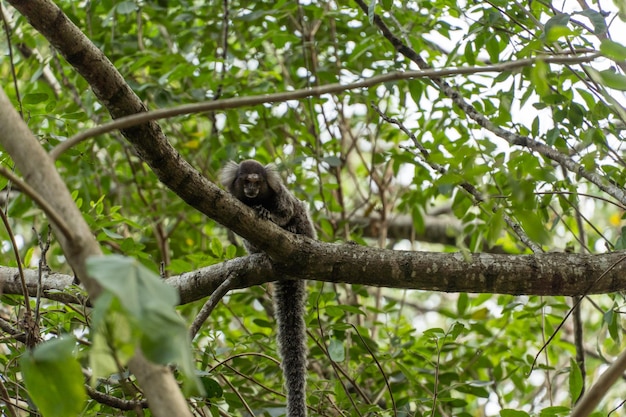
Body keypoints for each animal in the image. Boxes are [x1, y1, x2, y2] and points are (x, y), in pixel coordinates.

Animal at [222, 158, 314, 416]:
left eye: (257, 181)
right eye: (246, 181)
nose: (251, 189)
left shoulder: (280, 195)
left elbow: (287, 211)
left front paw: (269, 214)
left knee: (299, 212)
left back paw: (294, 231)